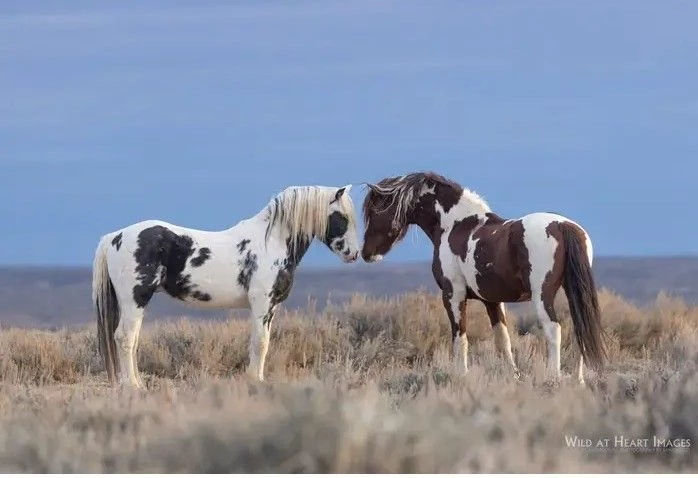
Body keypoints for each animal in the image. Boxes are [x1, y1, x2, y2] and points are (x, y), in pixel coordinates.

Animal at [92, 184, 361, 387]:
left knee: (132, 339)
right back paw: (133, 386)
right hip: (134, 299)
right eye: (341, 217)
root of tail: (113, 238)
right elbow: (260, 343)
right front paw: (255, 381)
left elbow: (260, 342)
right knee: (125, 338)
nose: (354, 254)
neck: (270, 242)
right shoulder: (261, 303)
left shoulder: (271, 307)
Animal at [360, 171, 605, 384]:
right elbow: (503, 340)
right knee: (580, 329)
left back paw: (553, 378)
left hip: (542, 295)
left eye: (375, 211)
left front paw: (461, 375)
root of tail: (563, 226)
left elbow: (460, 337)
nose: (366, 254)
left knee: (554, 329)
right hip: (573, 292)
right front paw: (513, 377)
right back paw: (578, 381)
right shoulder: (492, 301)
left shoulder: (453, 294)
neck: (456, 225)